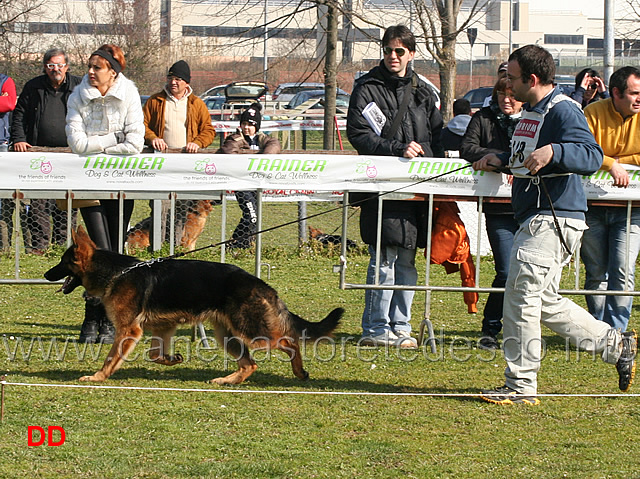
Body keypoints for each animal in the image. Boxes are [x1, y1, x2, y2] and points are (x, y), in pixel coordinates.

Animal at [43, 226, 344, 386]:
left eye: (62, 262)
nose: (46, 275)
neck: (116, 272)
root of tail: (262, 285)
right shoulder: (161, 329)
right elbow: (155, 354)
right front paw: (171, 359)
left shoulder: (128, 331)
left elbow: (111, 357)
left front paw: (98, 376)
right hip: (227, 335)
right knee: (251, 365)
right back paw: (227, 381)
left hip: (252, 334)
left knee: (290, 342)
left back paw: (299, 371)